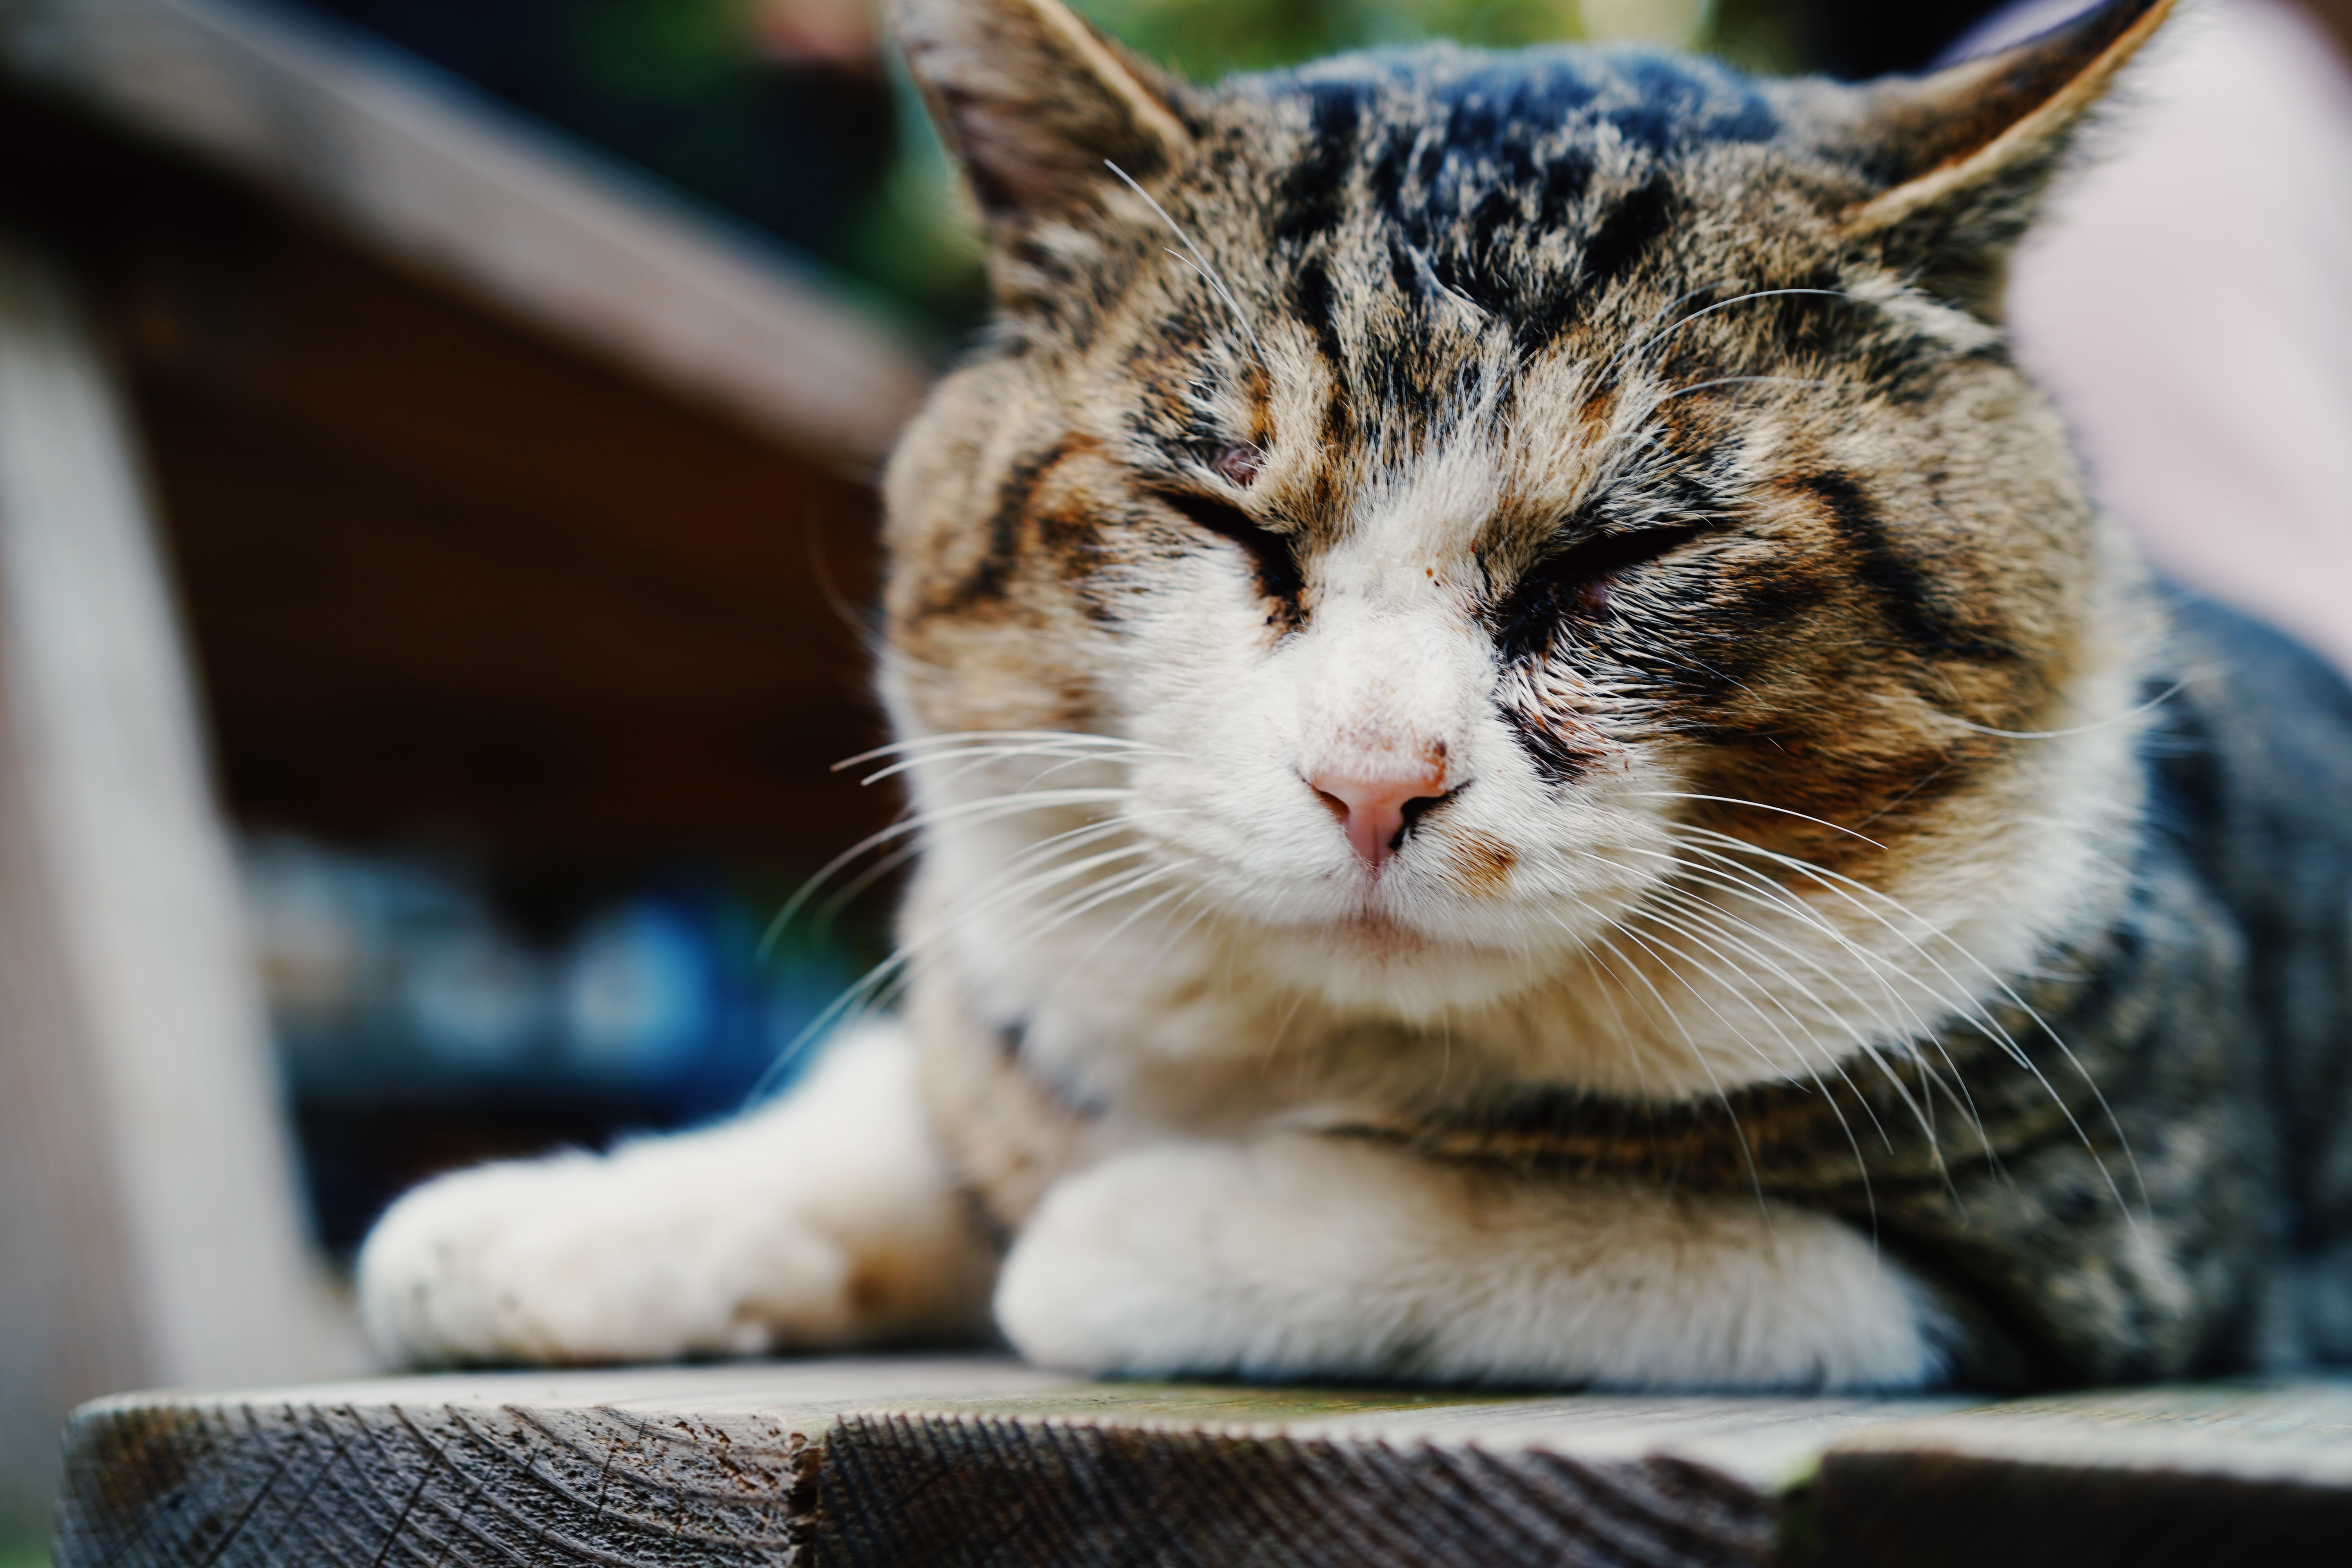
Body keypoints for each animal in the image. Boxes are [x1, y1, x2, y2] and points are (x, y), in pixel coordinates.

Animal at [353, 0, 2352, 1401]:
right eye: (1217, 512)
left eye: (1629, 550)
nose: (1376, 780)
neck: (1324, 1046)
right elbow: (927, 1094)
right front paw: (559, 1216)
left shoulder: (2107, 1246)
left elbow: (1568, 1219)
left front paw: (1136, 1226)